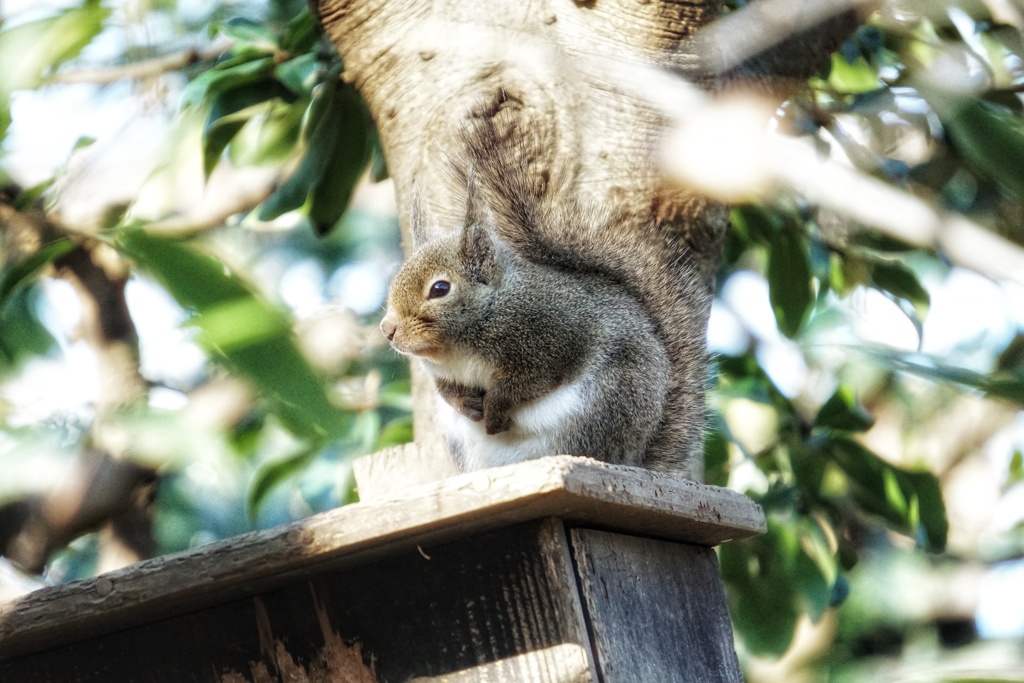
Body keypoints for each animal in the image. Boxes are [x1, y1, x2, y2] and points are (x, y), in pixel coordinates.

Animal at [380, 112, 708, 475]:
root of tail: (635, 460)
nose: (387, 330)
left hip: (604, 408)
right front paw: (468, 405)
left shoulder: (555, 335)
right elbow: (448, 392)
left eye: (440, 288)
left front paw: (495, 409)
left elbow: (525, 384)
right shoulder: (443, 375)